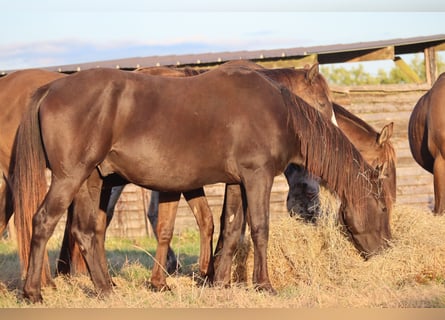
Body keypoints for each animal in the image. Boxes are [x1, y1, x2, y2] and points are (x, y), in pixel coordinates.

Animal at [12, 66, 390, 302]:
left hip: (91, 179)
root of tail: (50, 89)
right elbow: (260, 228)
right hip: (71, 177)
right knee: (42, 222)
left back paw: (105, 288)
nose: (386, 249)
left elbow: (233, 227)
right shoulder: (257, 177)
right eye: (383, 206)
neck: (278, 111)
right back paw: (34, 292)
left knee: (86, 231)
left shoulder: (238, 182)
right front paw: (264, 285)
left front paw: (218, 281)